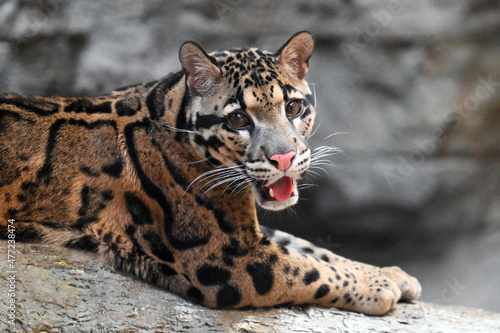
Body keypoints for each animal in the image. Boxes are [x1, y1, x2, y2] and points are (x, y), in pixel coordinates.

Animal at [0, 31, 422, 314]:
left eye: (293, 107)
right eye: (238, 119)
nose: (285, 158)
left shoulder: (243, 229)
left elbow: (309, 247)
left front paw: (390, 273)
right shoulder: (224, 256)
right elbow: (309, 270)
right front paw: (377, 284)